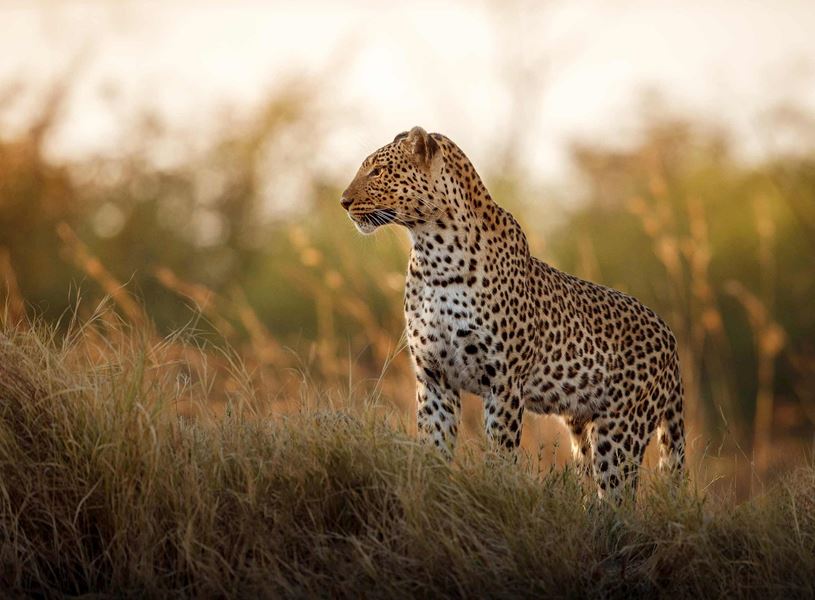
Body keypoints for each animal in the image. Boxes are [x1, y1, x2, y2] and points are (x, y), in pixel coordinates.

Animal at [340, 126, 685, 499]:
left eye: (377, 171)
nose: (343, 201)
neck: (433, 254)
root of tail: (670, 337)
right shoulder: (433, 377)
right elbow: (434, 447)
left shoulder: (503, 381)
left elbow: (500, 454)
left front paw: (495, 492)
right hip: (582, 427)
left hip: (621, 430)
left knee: (618, 497)